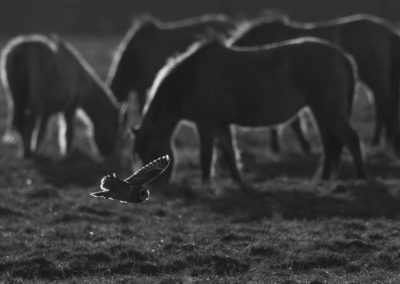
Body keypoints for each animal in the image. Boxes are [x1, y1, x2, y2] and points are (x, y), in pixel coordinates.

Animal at [0, 34, 131, 166]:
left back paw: (25, 151)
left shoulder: (47, 112)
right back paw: (27, 152)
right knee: (28, 124)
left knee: (21, 123)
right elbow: (68, 131)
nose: (111, 155)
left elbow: (41, 132)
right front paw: (67, 152)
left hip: (15, 99)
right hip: (36, 101)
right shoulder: (71, 107)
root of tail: (22, 49)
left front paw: (37, 149)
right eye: (119, 133)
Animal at [133, 36, 368, 185]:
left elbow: (206, 154)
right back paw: (324, 178)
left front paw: (206, 183)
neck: (191, 80)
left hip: (329, 111)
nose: (158, 185)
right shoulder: (221, 124)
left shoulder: (206, 123)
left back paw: (360, 177)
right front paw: (237, 181)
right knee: (330, 144)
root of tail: (343, 57)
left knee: (351, 139)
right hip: (320, 111)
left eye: (152, 151)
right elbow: (228, 152)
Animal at [231, 13, 400, 155]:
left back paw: (386, 143)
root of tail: (388, 32)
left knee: (385, 106)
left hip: (375, 78)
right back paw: (380, 141)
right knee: (382, 107)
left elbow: (294, 123)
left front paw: (298, 147)